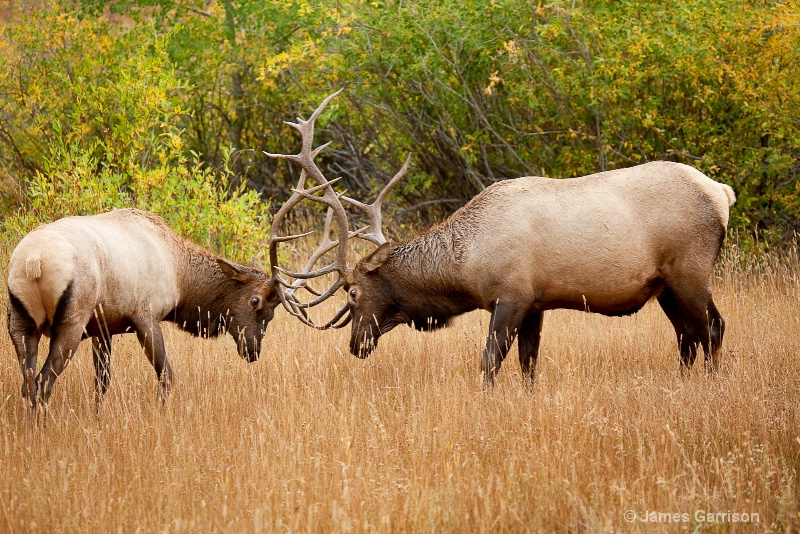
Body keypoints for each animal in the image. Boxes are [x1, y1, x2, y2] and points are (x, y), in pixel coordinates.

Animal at [6, 209, 280, 410]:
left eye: (272, 313)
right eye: (255, 301)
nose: (253, 350)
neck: (180, 277)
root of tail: (33, 260)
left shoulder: (102, 327)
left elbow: (101, 383)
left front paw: (98, 418)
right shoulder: (145, 317)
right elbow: (166, 375)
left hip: (19, 322)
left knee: (27, 384)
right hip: (72, 322)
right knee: (43, 382)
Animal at [266, 92, 736, 386]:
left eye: (353, 294)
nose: (355, 345)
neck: (466, 264)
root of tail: (722, 193)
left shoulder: (511, 296)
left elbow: (489, 362)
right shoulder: (537, 303)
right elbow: (529, 365)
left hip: (690, 271)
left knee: (712, 327)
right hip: (664, 286)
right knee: (686, 336)